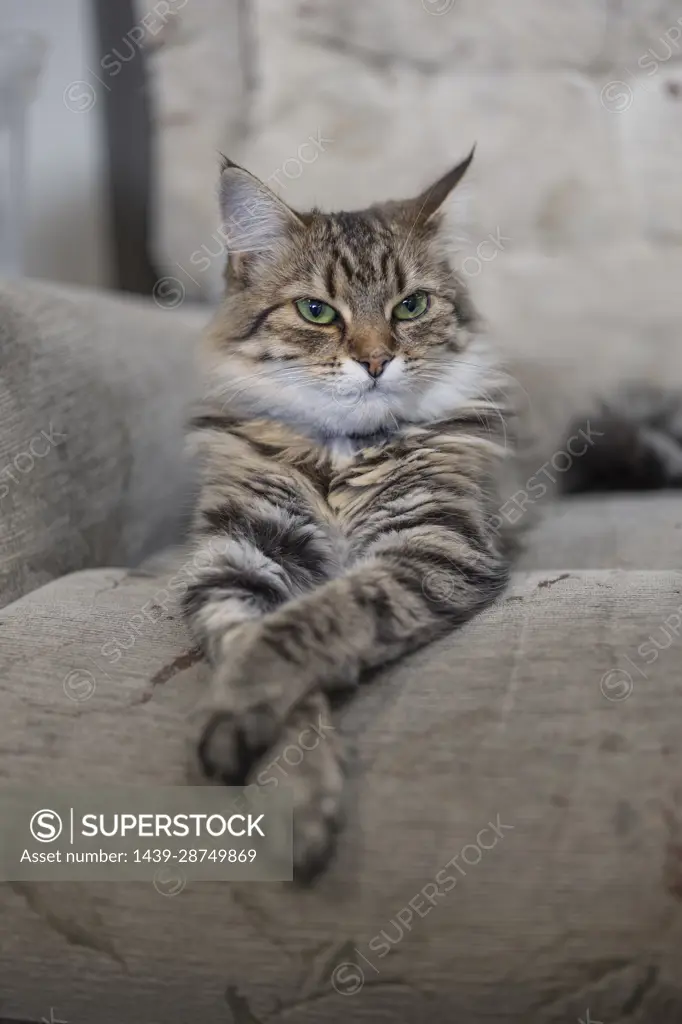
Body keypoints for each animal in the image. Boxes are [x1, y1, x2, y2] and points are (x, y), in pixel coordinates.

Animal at [180, 151, 520, 880]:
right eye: (317, 312)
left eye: (410, 306)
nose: (375, 360)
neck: (341, 454)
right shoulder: (238, 553)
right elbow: (251, 642)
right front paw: (291, 782)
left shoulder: (432, 539)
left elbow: (301, 626)